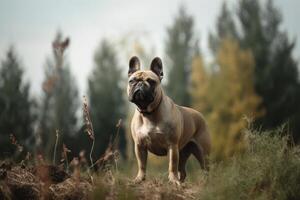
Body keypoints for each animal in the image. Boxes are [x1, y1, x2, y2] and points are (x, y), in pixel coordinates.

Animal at [126, 55, 211, 184]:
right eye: (132, 81)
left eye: (151, 81)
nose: (139, 84)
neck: (149, 113)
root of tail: (199, 115)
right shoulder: (139, 146)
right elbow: (142, 165)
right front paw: (139, 179)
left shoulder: (172, 145)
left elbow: (172, 165)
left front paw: (173, 180)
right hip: (183, 151)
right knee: (182, 171)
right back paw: (181, 181)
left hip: (203, 152)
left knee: (206, 169)